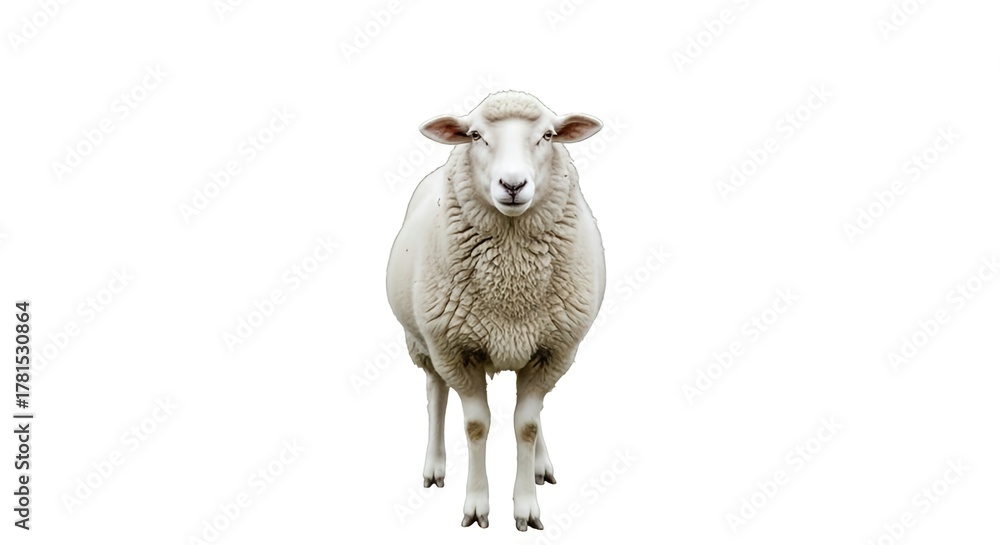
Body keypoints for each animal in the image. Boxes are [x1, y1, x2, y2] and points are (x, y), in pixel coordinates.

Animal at [385, 91, 606, 531]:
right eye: (475, 135)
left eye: (548, 135)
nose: (513, 184)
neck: (511, 287)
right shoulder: (455, 351)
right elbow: (475, 426)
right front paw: (476, 506)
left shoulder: (553, 350)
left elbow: (527, 425)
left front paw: (526, 507)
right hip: (422, 341)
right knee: (435, 393)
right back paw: (435, 466)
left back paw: (541, 463)